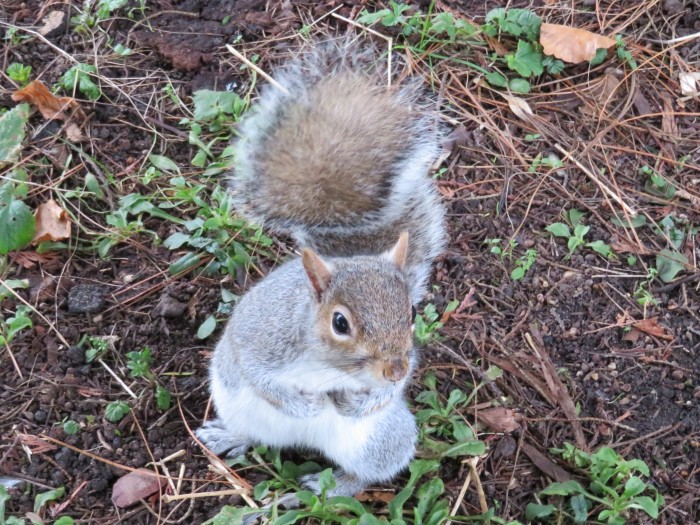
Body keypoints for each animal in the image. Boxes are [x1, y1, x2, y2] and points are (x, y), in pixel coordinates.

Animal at [196, 40, 448, 500]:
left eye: (411, 314)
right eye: (340, 323)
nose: (393, 369)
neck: (327, 366)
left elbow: (391, 390)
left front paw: (363, 398)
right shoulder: (263, 340)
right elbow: (261, 378)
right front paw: (306, 404)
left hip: (378, 440)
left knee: (367, 474)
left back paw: (328, 487)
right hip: (231, 398)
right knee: (254, 432)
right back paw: (229, 436)